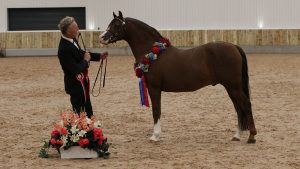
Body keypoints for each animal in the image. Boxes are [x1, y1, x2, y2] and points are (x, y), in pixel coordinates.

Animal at [99, 11, 256, 143]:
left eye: (117, 25)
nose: (102, 38)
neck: (153, 53)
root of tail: (234, 46)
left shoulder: (154, 88)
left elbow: (156, 111)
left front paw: (155, 136)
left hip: (233, 86)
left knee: (246, 105)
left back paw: (252, 136)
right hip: (231, 88)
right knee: (238, 108)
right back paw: (237, 135)